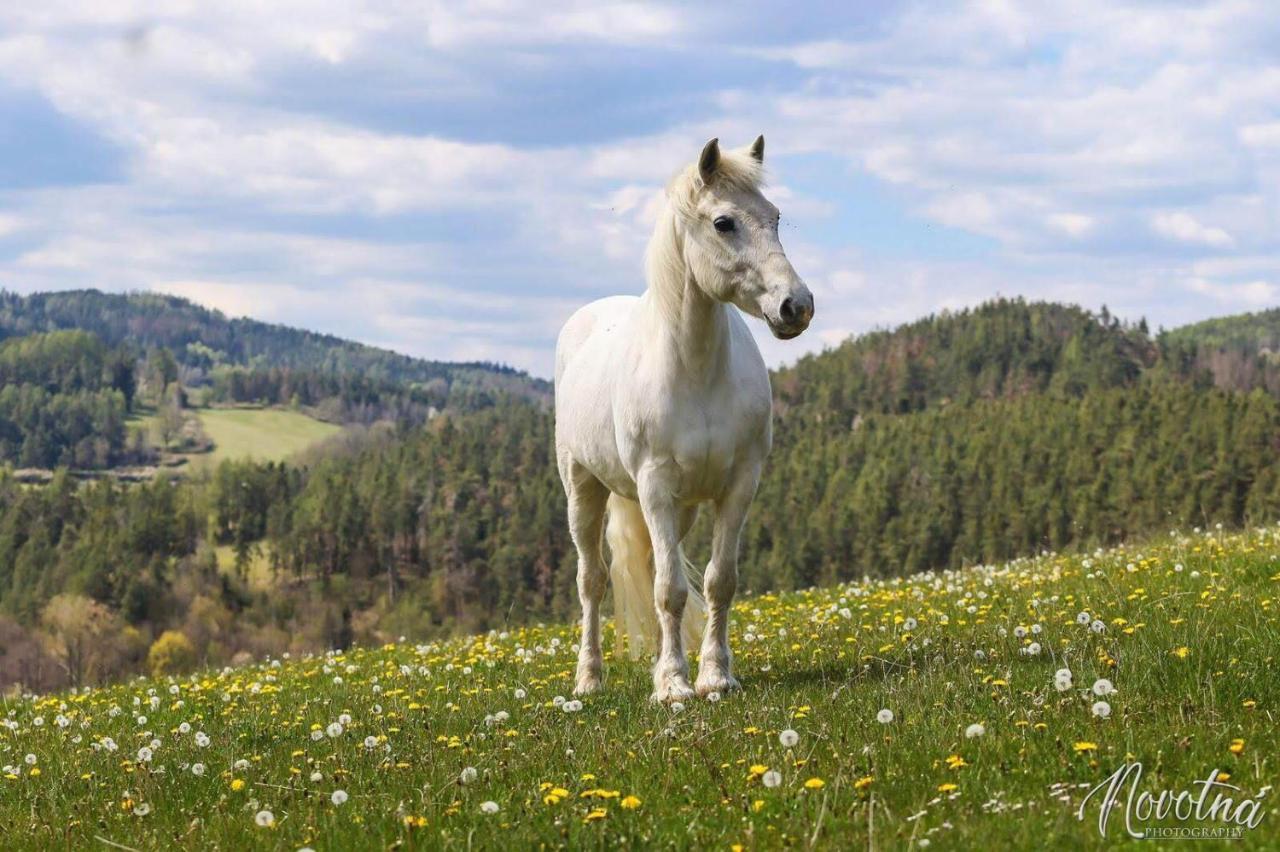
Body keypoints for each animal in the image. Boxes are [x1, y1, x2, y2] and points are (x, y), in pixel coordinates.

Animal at [555, 137, 814, 695]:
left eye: (776, 217)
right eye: (723, 222)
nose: (796, 306)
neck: (694, 373)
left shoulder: (739, 484)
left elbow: (717, 581)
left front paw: (713, 677)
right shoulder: (654, 486)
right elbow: (669, 589)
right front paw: (674, 685)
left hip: (684, 507)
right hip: (583, 487)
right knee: (592, 581)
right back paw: (590, 680)